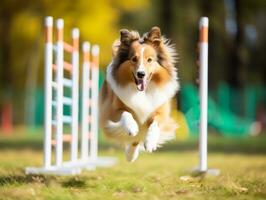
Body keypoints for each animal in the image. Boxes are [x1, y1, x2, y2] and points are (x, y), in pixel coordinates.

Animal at [100, 26, 181, 162]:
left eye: (150, 60)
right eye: (134, 59)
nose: (141, 74)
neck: (142, 92)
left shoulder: (161, 112)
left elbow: (155, 123)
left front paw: (150, 142)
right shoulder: (112, 111)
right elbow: (126, 114)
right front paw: (132, 127)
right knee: (134, 138)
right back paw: (130, 155)